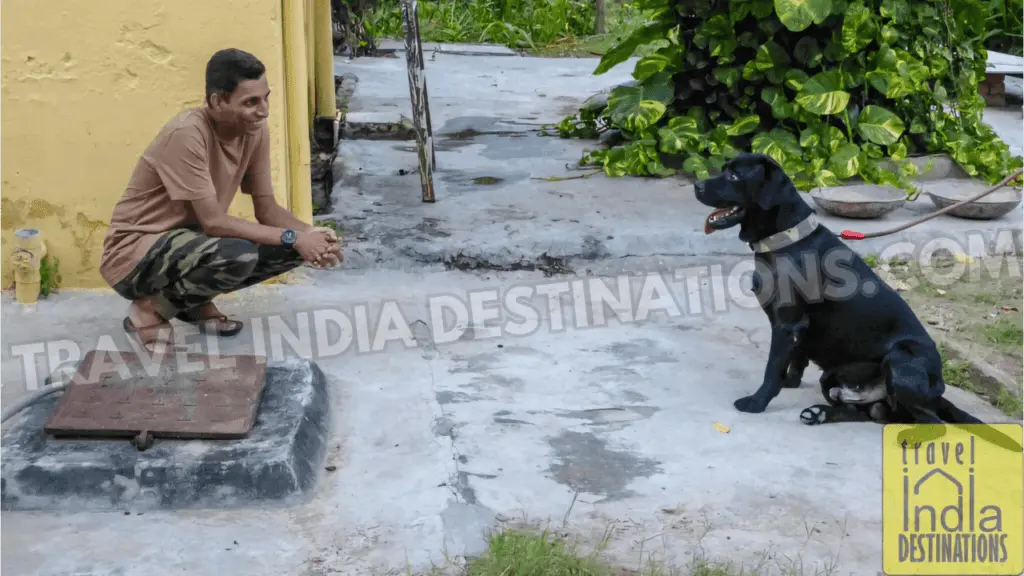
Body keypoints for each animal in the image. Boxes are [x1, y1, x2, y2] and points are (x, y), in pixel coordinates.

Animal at [692, 153, 1003, 430]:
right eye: (724, 168)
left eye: (735, 176)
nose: (696, 185)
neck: (785, 241)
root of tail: (937, 392)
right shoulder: (796, 328)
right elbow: (796, 359)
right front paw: (790, 383)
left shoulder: (788, 323)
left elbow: (773, 367)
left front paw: (757, 402)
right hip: (833, 379)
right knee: (874, 413)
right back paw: (819, 414)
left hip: (901, 358)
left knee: (929, 422)